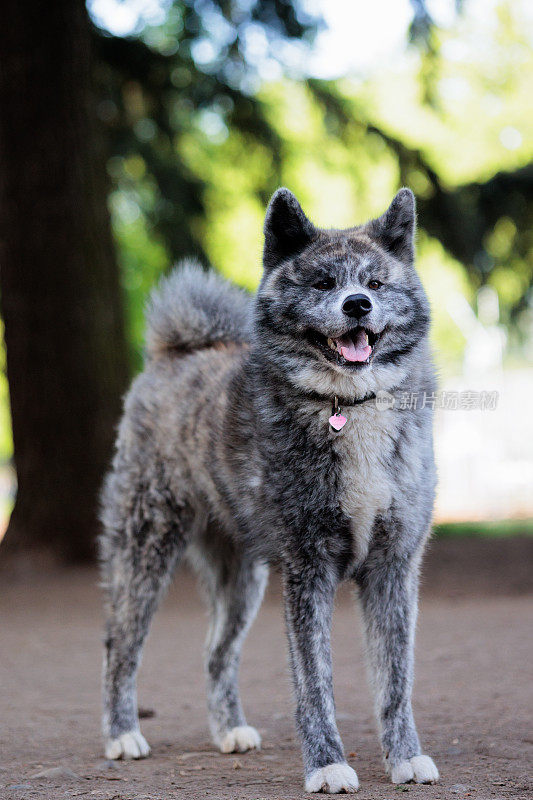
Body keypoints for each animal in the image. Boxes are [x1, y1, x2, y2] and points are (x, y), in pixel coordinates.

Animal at [98, 189, 436, 792]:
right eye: (323, 283)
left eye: (375, 283)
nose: (357, 305)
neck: (347, 407)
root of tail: (173, 353)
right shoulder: (308, 569)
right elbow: (315, 684)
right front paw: (328, 765)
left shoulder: (393, 568)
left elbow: (396, 679)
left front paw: (405, 758)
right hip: (144, 549)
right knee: (121, 644)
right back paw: (122, 735)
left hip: (241, 578)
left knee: (217, 651)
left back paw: (229, 731)